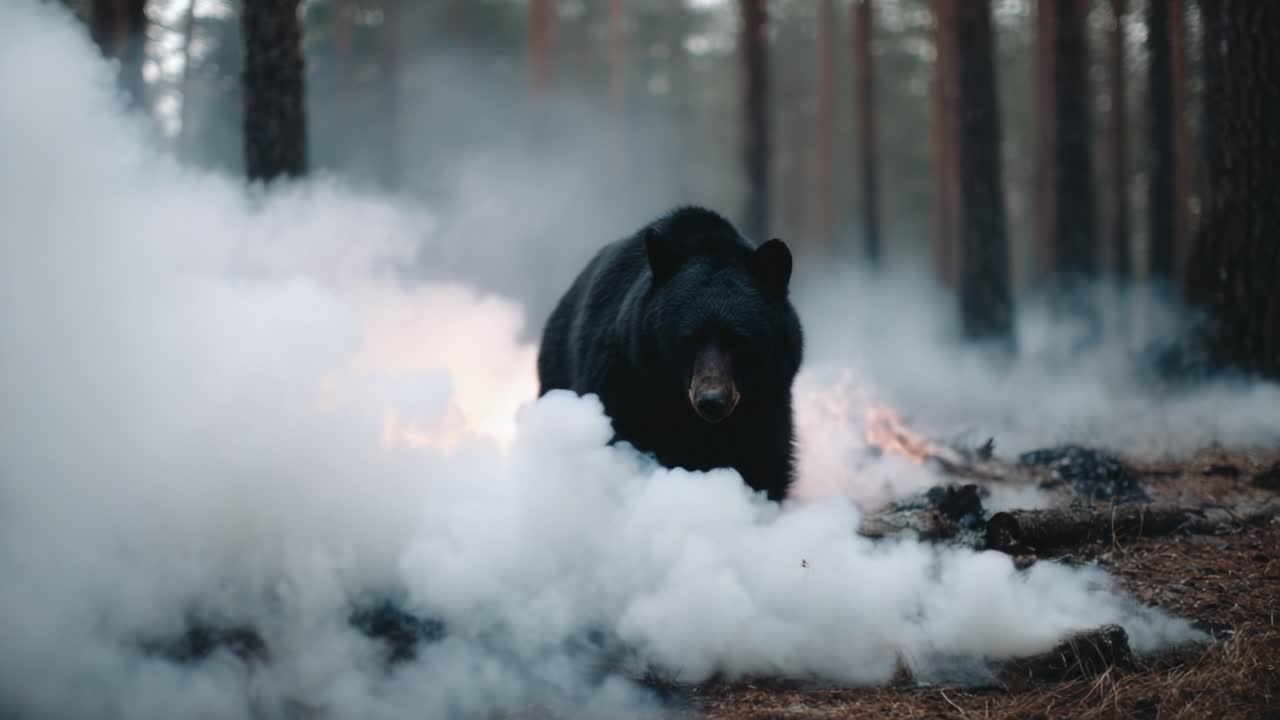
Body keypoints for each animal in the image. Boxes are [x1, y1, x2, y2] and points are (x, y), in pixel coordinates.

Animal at [536, 206, 804, 502]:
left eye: (739, 339)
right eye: (688, 338)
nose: (711, 400)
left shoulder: (768, 398)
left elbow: (763, 463)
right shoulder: (622, 380)